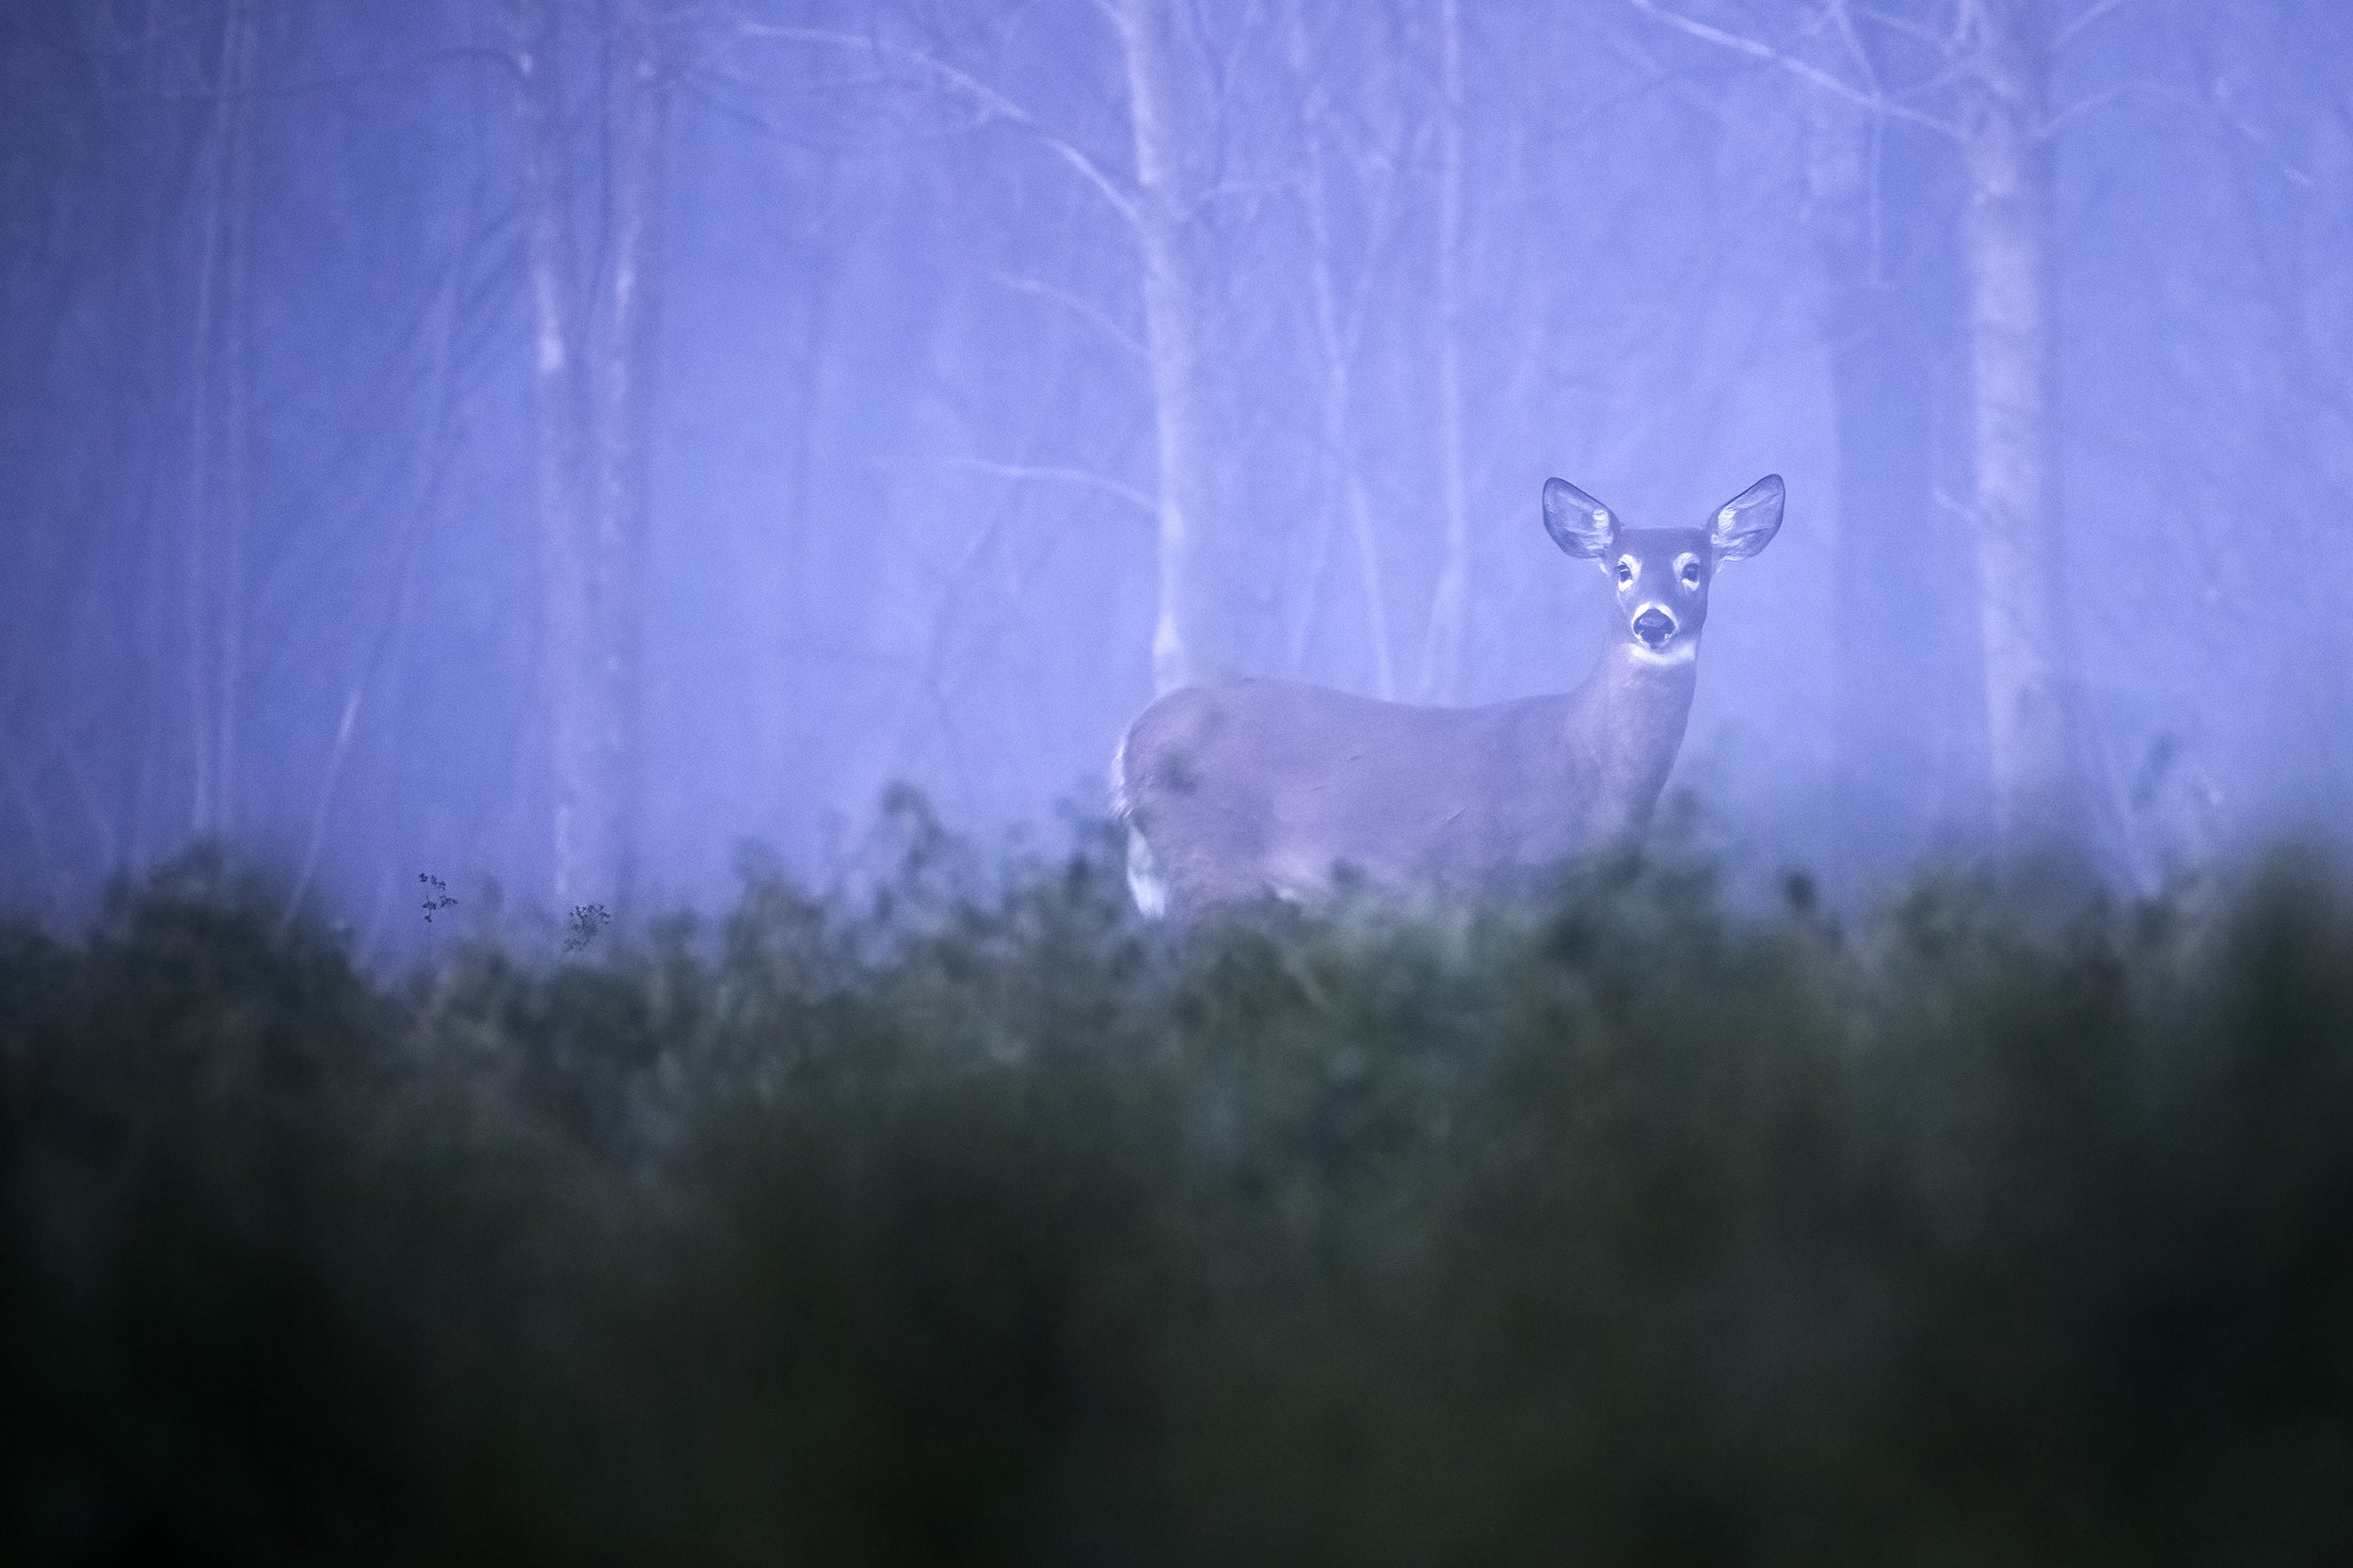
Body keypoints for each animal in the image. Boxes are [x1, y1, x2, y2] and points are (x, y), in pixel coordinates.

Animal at [1110, 474, 1784, 916]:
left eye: (1694, 567)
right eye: (1622, 568)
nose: (1653, 622)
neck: (1587, 765)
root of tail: (1131, 741)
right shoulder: (1488, 879)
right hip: (1209, 861)